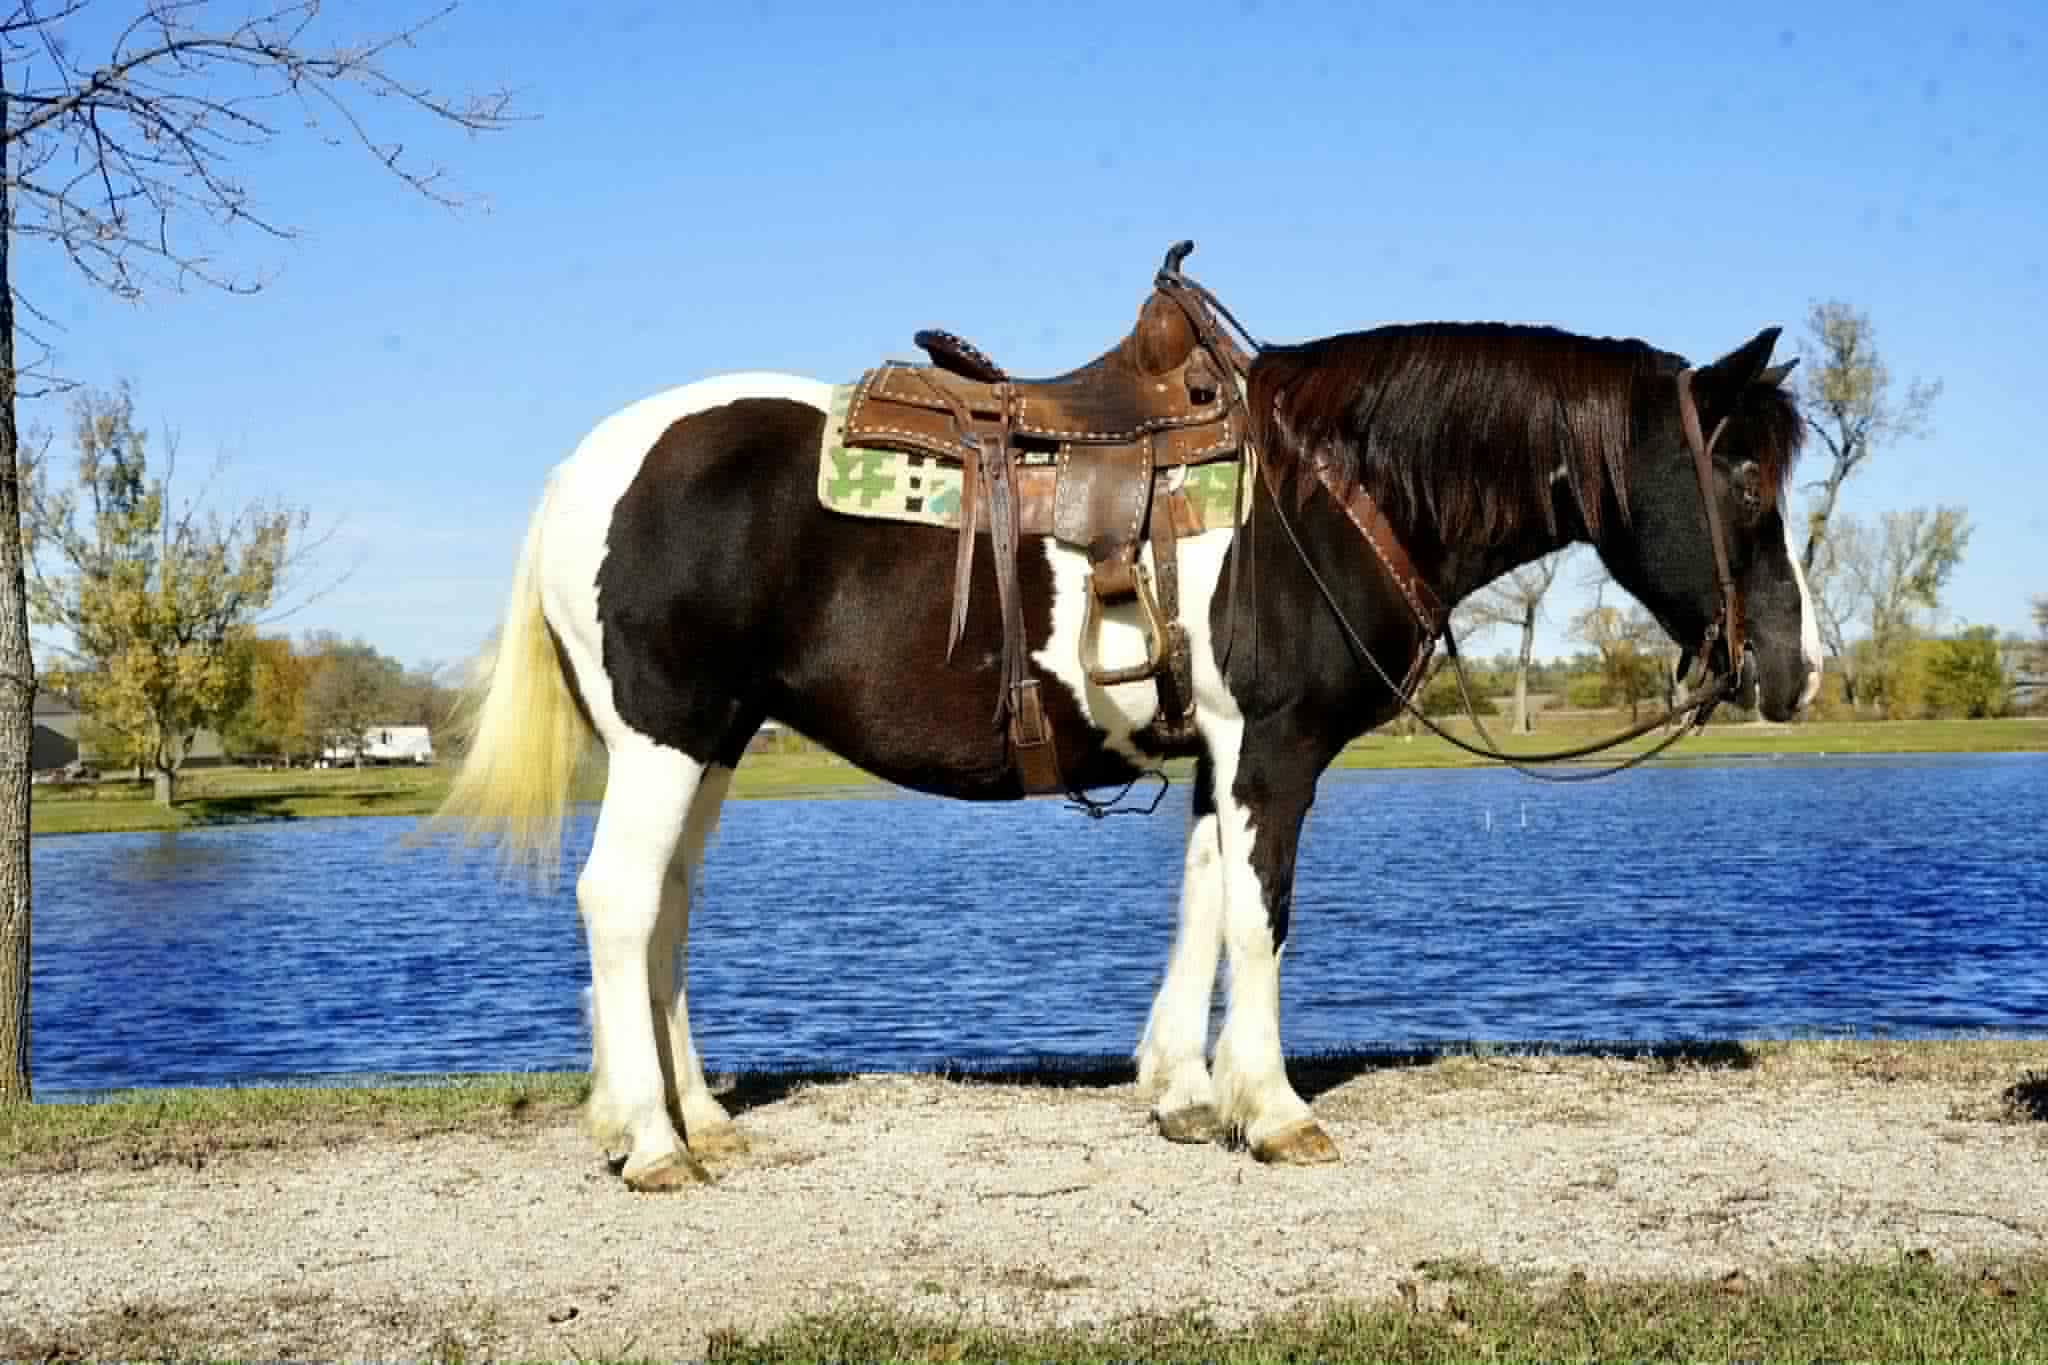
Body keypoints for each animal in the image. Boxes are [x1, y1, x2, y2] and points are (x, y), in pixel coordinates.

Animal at [429, 299, 1820, 1191]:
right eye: (1745, 477)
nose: (1793, 668)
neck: (1326, 493)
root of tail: (582, 469)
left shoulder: (1217, 756)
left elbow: (1200, 905)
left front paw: (1182, 1093)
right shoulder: (1272, 750)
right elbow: (1258, 916)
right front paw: (1271, 1111)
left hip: (705, 744)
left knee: (662, 908)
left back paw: (695, 1121)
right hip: (664, 737)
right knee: (619, 902)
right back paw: (654, 1145)